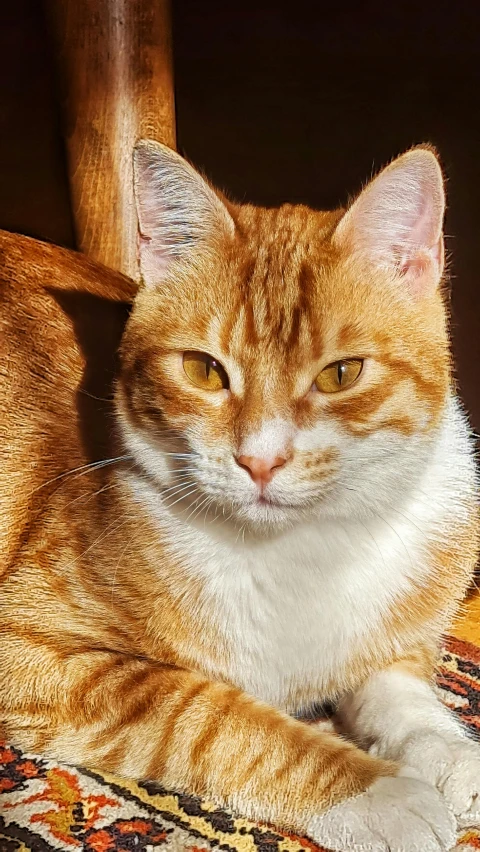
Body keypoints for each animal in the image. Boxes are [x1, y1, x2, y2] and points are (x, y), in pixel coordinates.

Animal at [0, 143, 480, 848]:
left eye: (341, 374)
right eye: (204, 371)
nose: (260, 460)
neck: (300, 553)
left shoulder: (398, 632)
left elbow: (399, 687)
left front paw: (447, 751)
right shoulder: (38, 652)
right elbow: (217, 717)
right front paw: (380, 789)